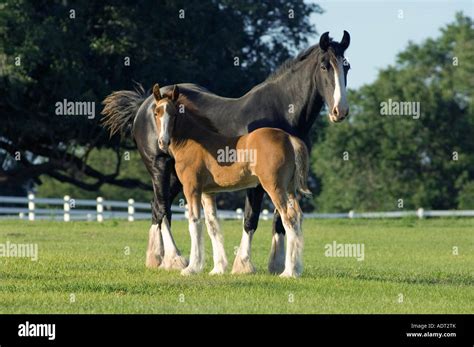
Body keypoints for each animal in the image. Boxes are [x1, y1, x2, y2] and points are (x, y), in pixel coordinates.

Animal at [102, 30, 350, 274]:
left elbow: (277, 221)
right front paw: (243, 265)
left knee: (156, 208)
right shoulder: (257, 185)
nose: (341, 111)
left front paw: (275, 265)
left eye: (346, 66)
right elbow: (250, 219)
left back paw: (158, 258)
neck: (282, 111)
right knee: (162, 209)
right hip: (160, 168)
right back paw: (173, 259)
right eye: (325, 66)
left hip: (175, 177)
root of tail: (142, 105)